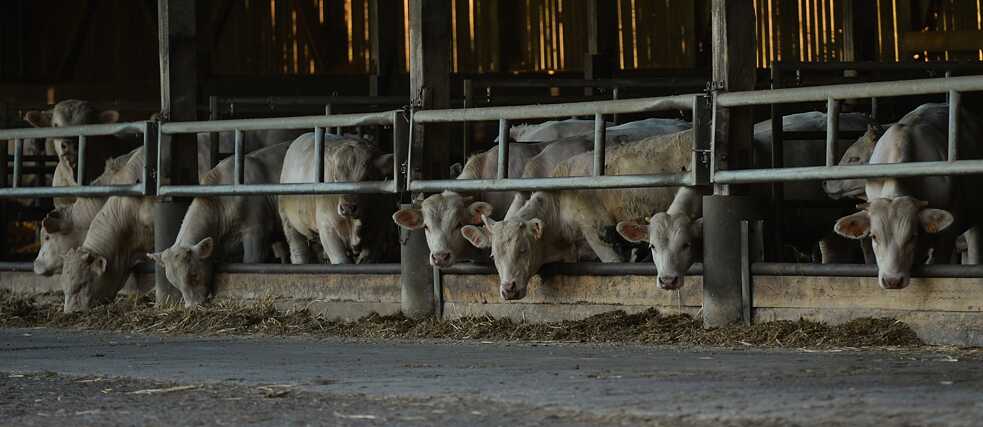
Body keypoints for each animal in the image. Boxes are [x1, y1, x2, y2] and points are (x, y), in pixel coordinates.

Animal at [279, 133, 395, 264]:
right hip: (288, 221)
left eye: (368, 177)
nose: (347, 208)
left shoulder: (378, 232)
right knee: (298, 251)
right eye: (336, 177)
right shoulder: (328, 229)